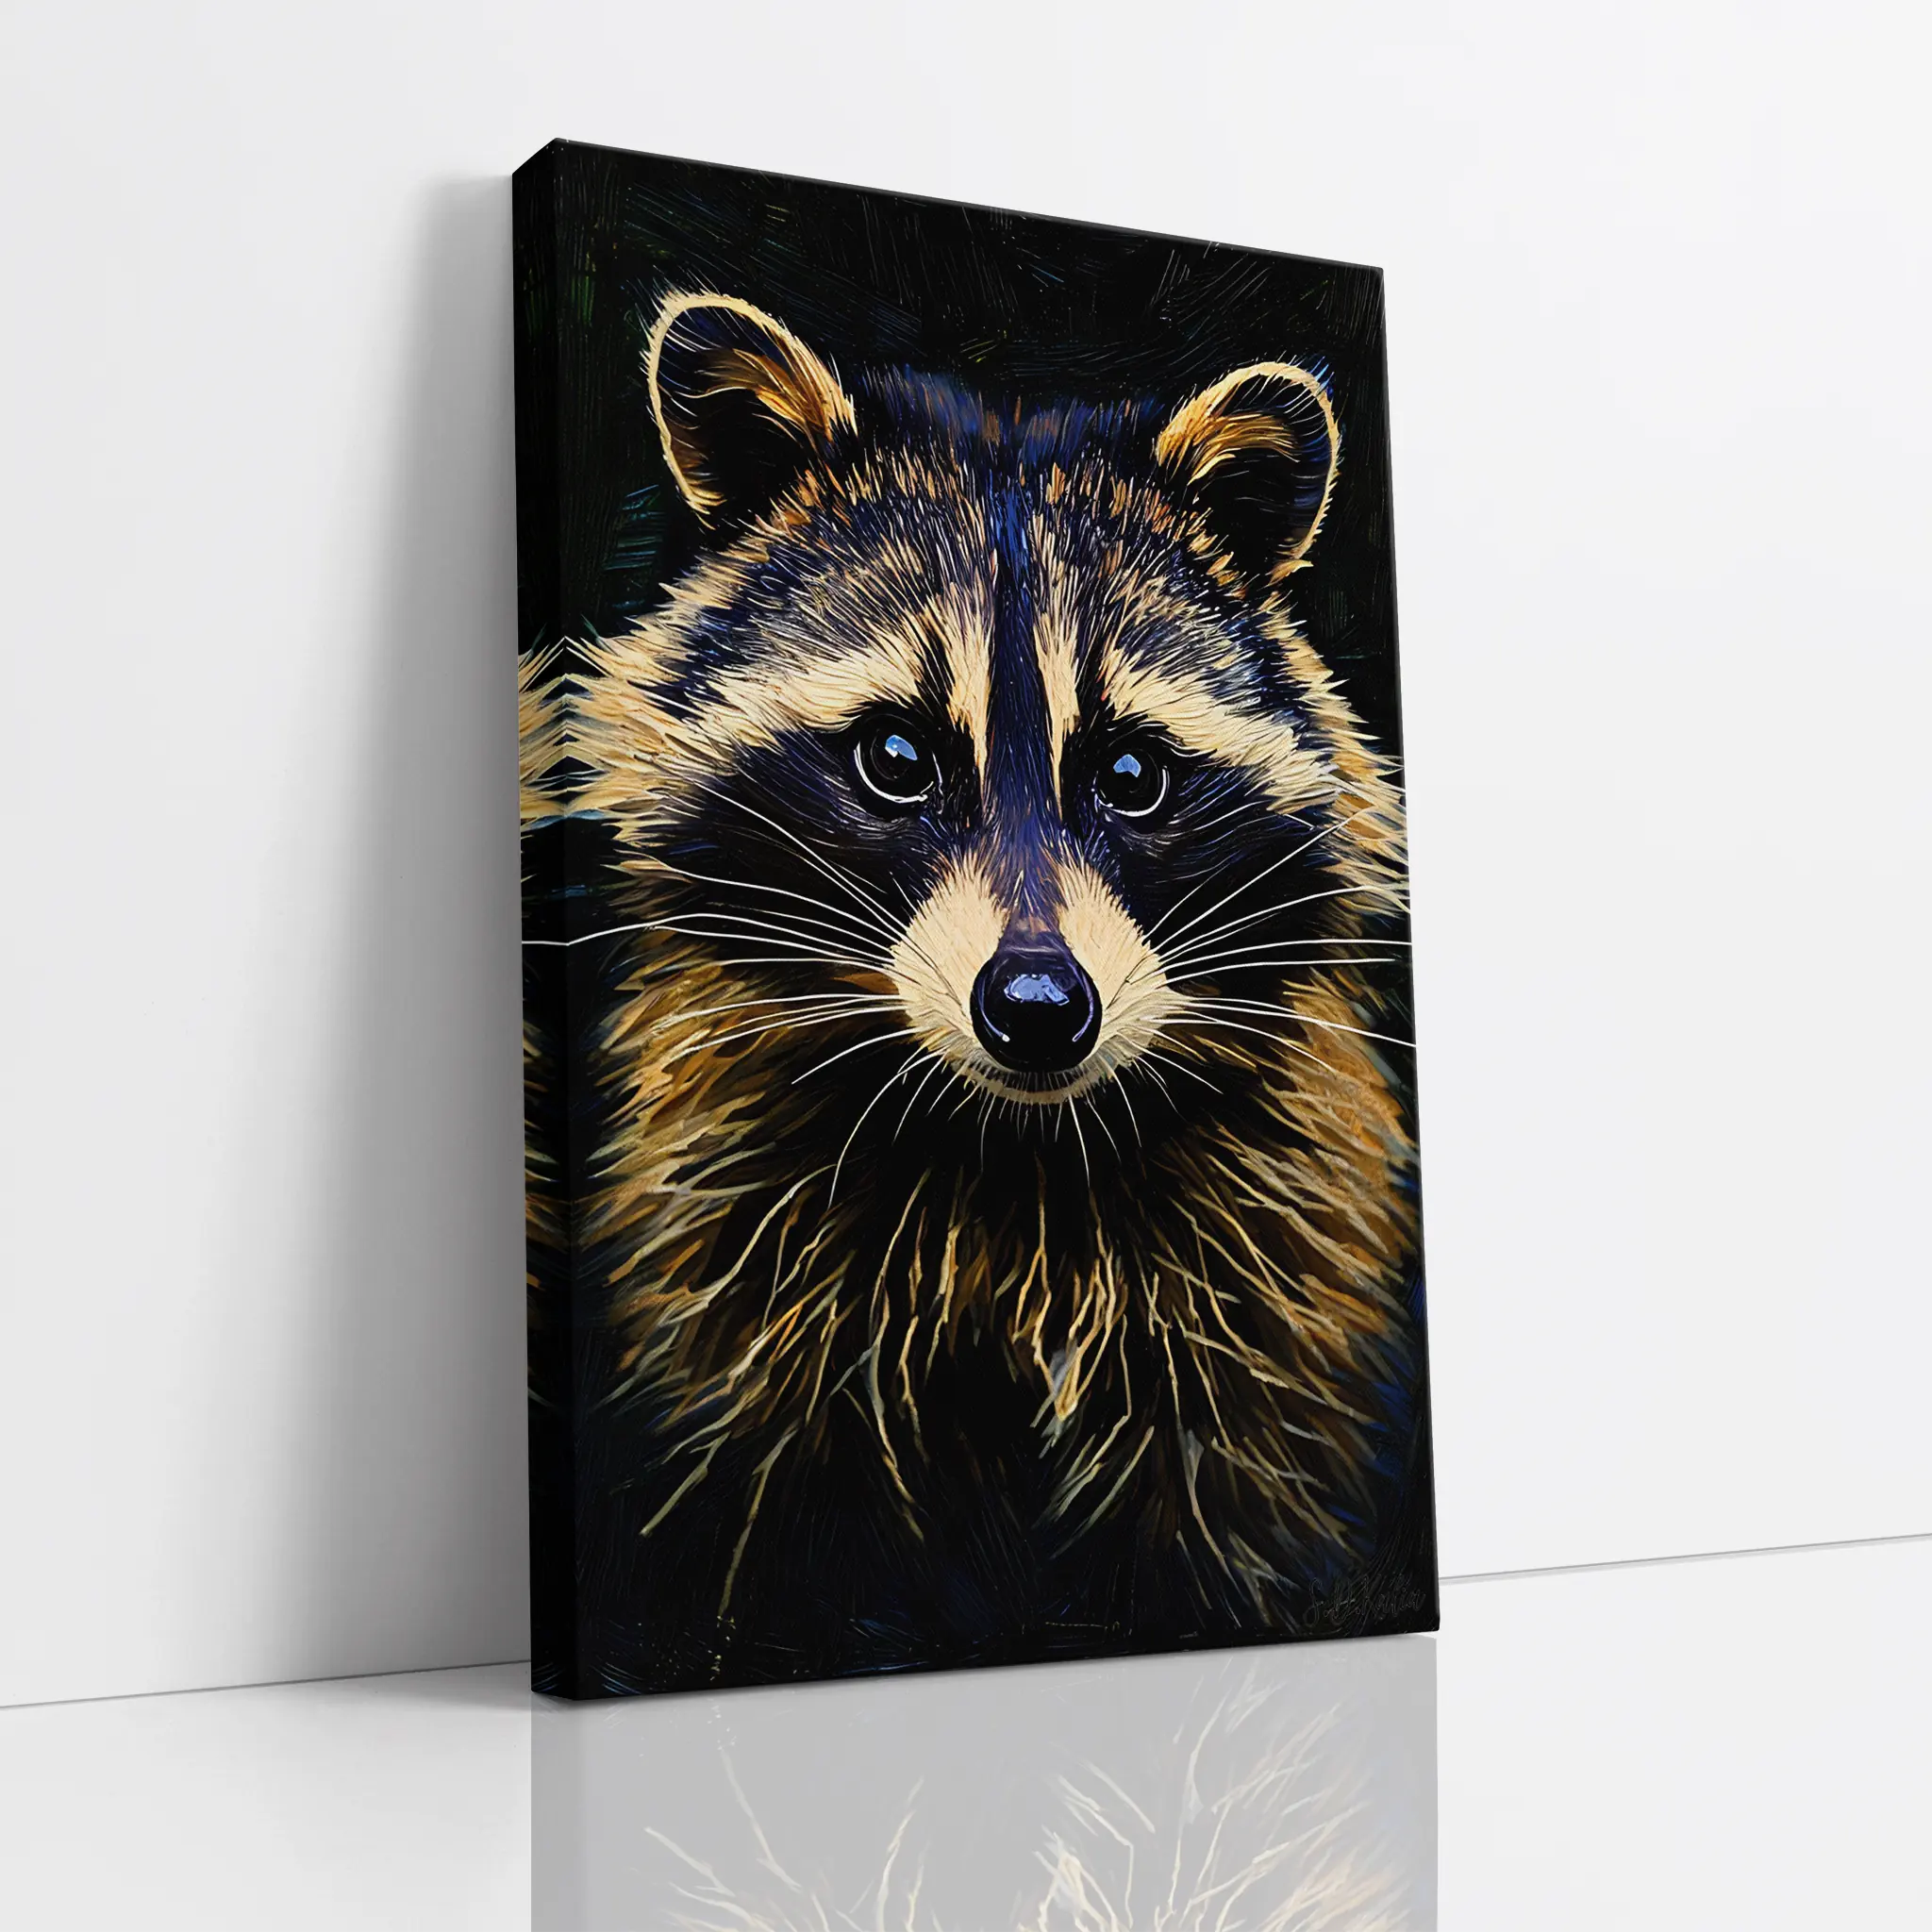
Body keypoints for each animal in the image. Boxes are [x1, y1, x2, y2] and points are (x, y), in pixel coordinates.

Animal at [522, 291, 1428, 1692]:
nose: (1041, 1008)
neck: (1013, 1148)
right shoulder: (742, 1280)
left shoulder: (1268, 1281)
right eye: (896, 756)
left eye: (1131, 773)